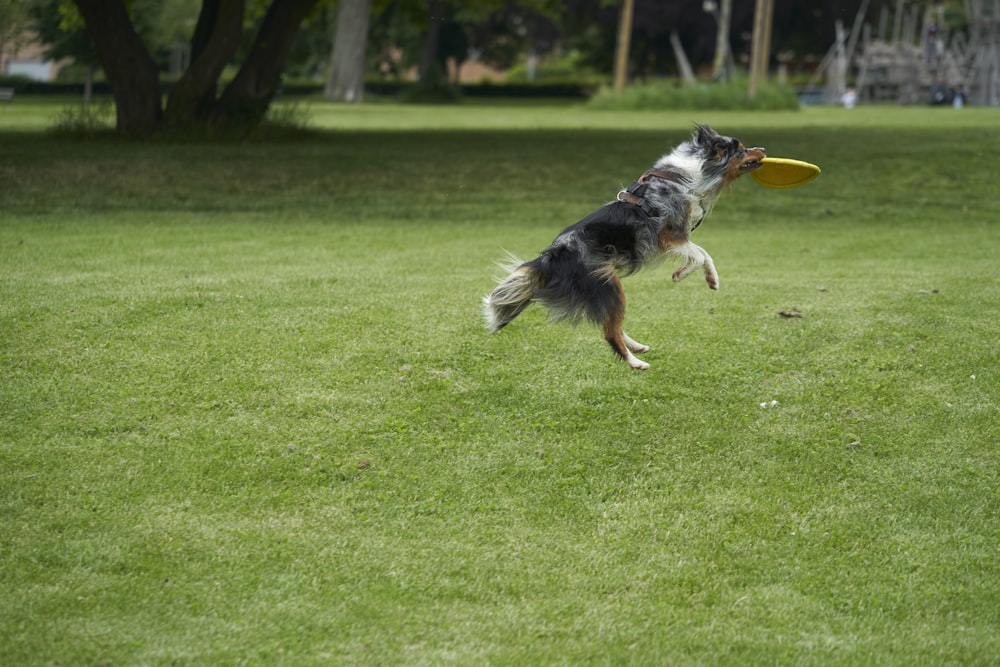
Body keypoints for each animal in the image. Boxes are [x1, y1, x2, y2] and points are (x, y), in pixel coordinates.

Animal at [484, 125, 764, 370]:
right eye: (741, 150)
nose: (762, 148)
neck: (688, 176)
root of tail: (552, 256)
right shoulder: (670, 236)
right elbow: (700, 254)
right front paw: (682, 274)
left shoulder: (677, 237)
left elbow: (704, 254)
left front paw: (711, 279)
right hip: (608, 285)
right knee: (610, 331)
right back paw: (635, 363)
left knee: (611, 324)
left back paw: (637, 347)